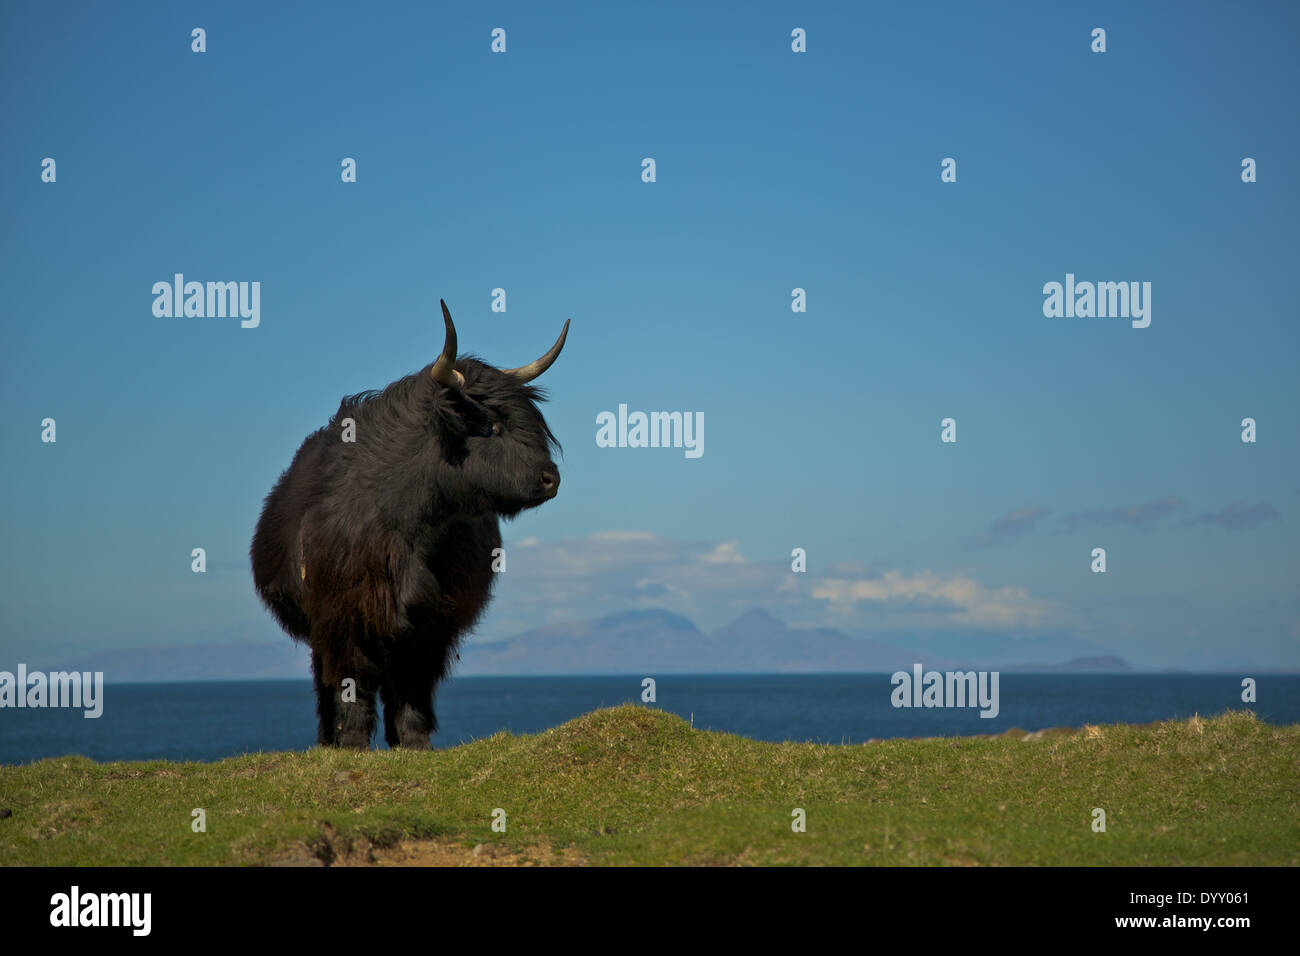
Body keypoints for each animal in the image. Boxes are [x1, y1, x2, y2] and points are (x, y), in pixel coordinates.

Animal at [250, 301, 568, 749]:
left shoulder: (430, 623)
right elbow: (352, 683)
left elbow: (414, 685)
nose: (550, 479)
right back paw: (328, 740)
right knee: (326, 679)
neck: (412, 524)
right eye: (491, 425)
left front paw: (415, 743)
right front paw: (352, 744)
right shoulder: (346, 616)